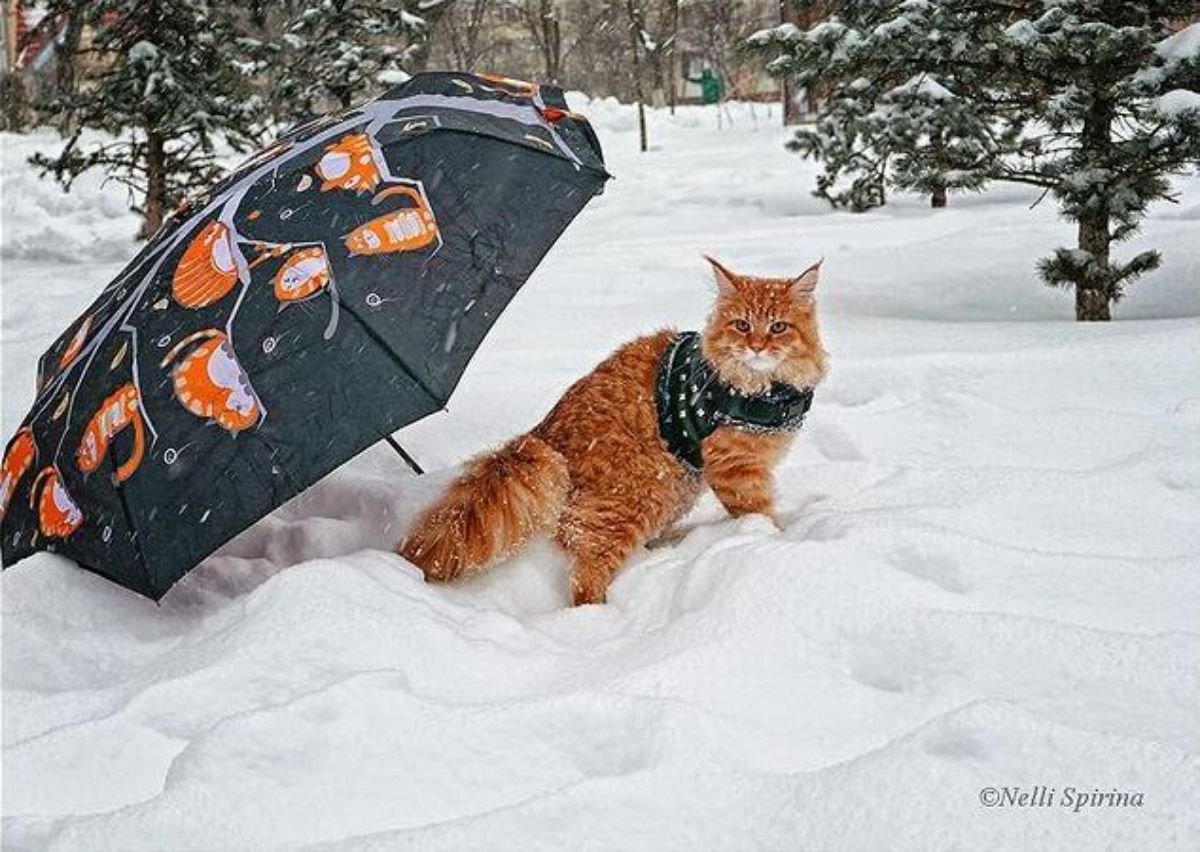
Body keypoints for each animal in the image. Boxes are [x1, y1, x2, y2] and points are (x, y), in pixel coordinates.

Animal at [398, 255, 830, 607]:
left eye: (778, 327)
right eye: (742, 325)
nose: (757, 346)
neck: (767, 388)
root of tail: (542, 437)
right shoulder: (735, 468)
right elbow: (759, 511)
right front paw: (772, 540)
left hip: (676, 488)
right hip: (636, 499)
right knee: (585, 579)